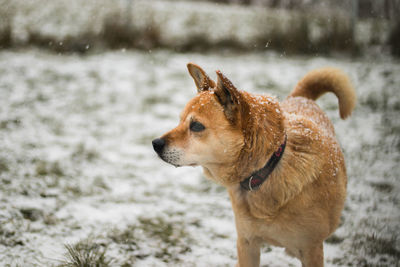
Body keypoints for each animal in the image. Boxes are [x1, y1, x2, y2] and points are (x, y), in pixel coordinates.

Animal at [152, 63, 354, 267]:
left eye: (196, 126)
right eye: (180, 120)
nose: (155, 143)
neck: (267, 168)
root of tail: (302, 98)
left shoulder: (312, 249)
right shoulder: (247, 243)